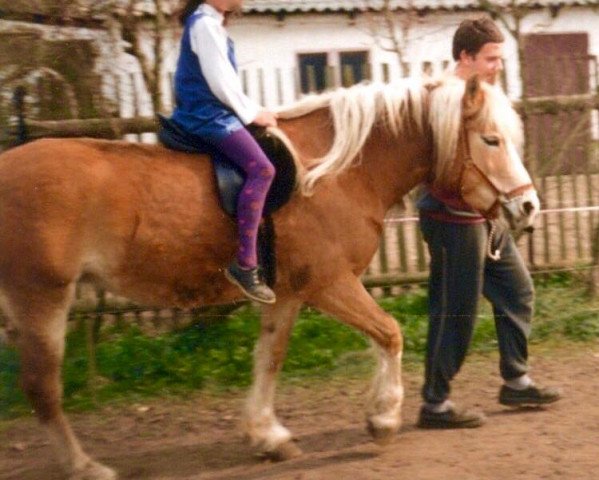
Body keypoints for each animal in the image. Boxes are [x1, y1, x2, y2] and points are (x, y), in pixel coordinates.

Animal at [0, 76, 540, 480]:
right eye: (490, 140)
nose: (529, 207)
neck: (335, 170)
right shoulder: (329, 283)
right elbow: (390, 332)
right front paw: (383, 418)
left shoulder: (286, 293)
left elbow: (270, 358)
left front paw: (267, 434)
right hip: (42, 298)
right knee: (42, 388)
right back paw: (84, 466)